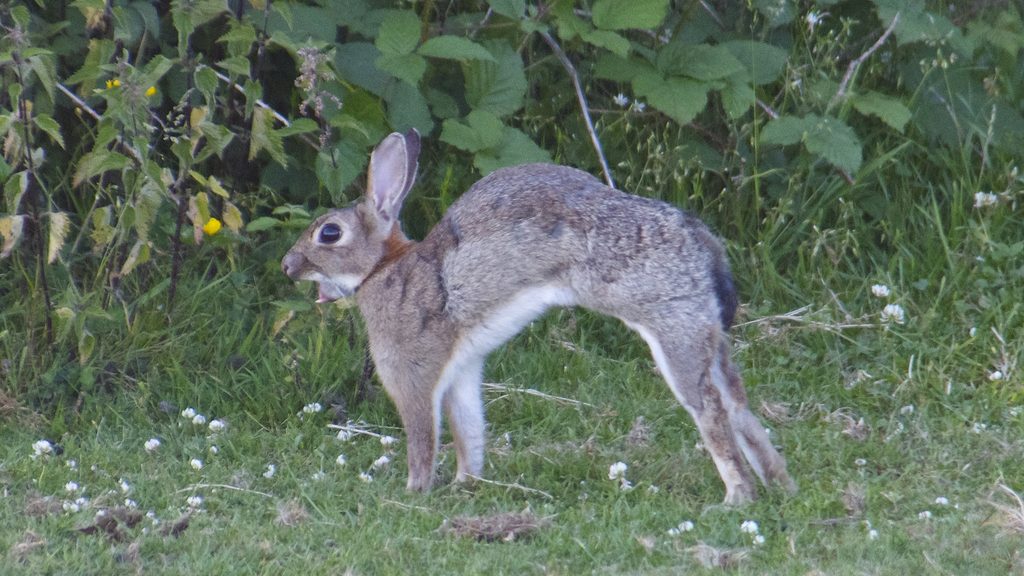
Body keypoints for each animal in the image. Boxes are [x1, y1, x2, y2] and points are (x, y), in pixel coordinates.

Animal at [284, 130, 794, 502]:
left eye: (329, 233)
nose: (289, 266)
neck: (383, 268)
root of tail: (701, 242)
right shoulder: (462, 371)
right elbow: (469, 429)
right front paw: (465, 484)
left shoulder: (411, 375)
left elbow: (423, 438)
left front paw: (415, 491)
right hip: (706, 331)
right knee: (736, 402)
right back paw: (780, 486)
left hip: (674, 328)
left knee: (709, 407)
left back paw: (737, 498)